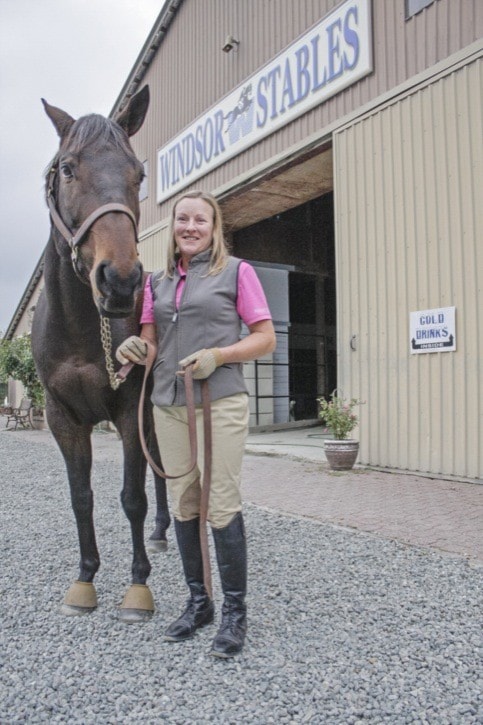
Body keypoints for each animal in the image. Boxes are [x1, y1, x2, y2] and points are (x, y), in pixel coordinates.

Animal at [30, 86, 170, 624]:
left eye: (139, 174)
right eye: (67, 168)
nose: (121, 282)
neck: (80, 331)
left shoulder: (128, 411)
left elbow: (132, 497)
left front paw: (138, 586)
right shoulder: (62, 418)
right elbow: (81, 498)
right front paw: (85, 578)